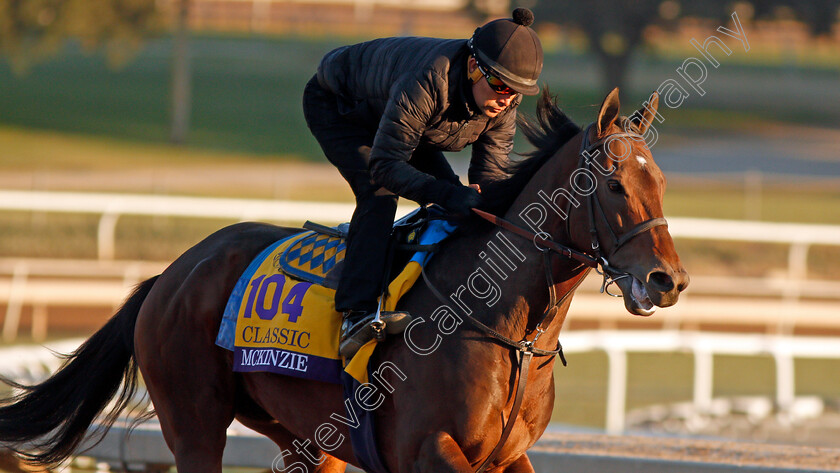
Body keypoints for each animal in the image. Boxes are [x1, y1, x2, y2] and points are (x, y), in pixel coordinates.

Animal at [0, 88, 688, 472]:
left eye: (660, 182)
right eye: (614, 184)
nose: (668, 279)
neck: (505, 330)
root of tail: (169, 275)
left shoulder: (508, 456)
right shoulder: (429, 450)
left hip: (309, 438)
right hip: (194, 422)